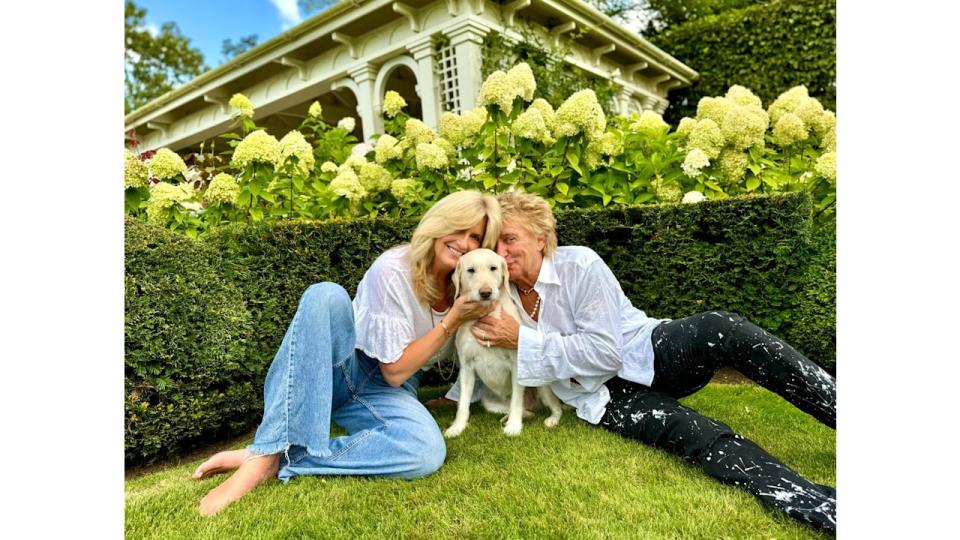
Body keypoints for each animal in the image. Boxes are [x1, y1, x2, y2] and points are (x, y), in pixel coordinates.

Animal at [446, 249, 568, 438]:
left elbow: (516, 401)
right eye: (471, 270)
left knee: (555, 408)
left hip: (541, 385)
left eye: (493, 268)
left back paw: (551, 419)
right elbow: (463, 404)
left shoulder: (517, 364)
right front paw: (457, 427)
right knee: (526, 412)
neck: (487, 314)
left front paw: (514, 427)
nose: (486, 292)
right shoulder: (466, 368)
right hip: (489, 402)